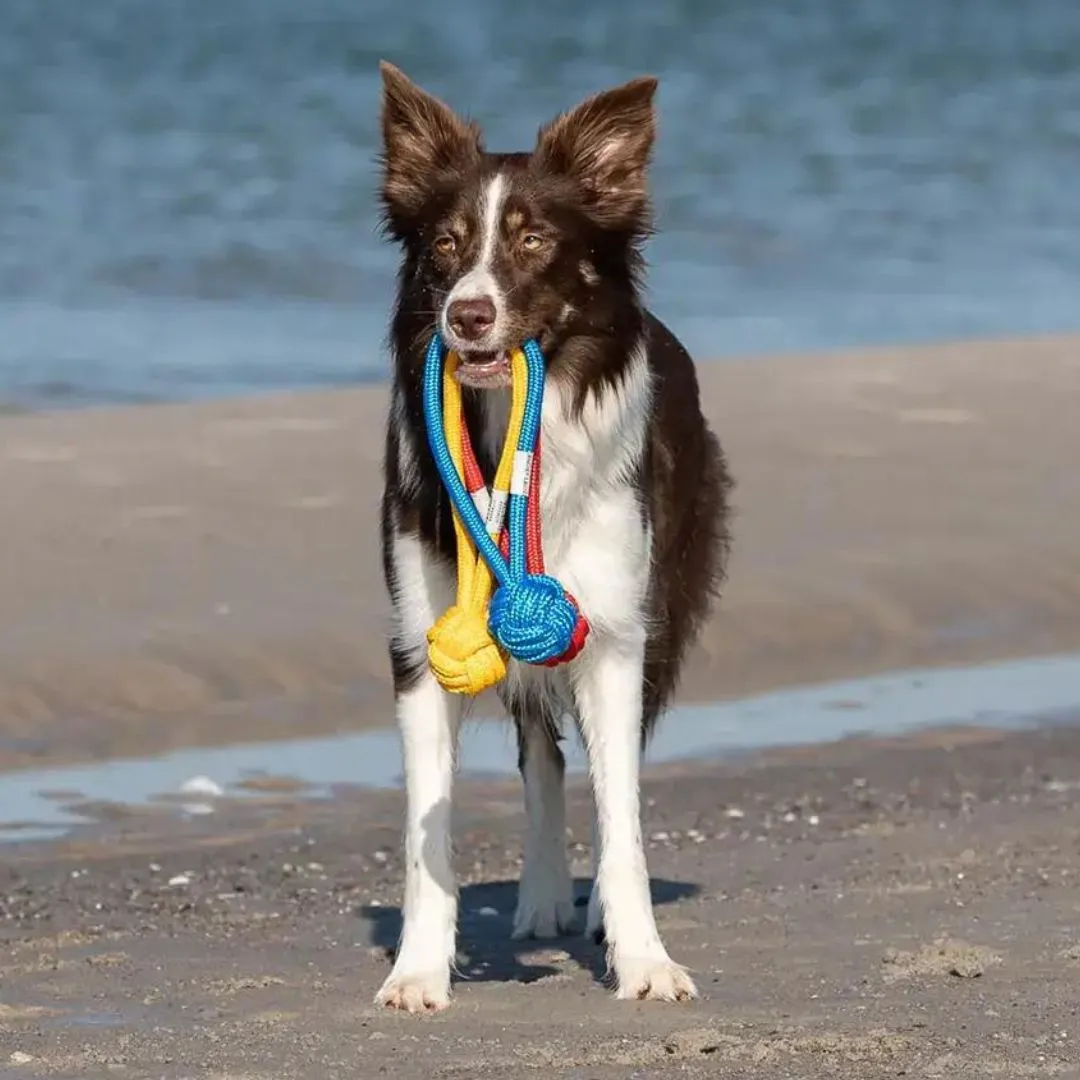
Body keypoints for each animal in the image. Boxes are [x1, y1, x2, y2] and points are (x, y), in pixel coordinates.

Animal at [373, 63, 734, 1010]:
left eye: (534, 241)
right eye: (446, 245)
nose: (466, 316)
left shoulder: (613, 633)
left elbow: (624, 818)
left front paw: (644, 960)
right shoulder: (420, 647)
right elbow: (429, 836)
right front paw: (417, 971)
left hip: (662, 610)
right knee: (542, 759)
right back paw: (540, 898)